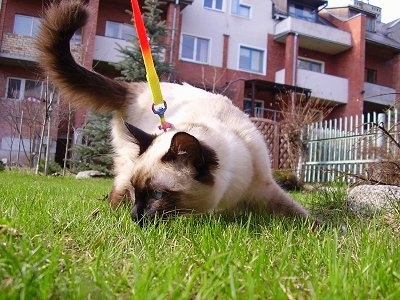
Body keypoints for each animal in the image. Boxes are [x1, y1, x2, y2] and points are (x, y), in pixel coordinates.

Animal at [35, 0, 310, 224]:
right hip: (125, 162)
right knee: (115, 193)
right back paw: (107, 212)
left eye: (158, 194)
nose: (135, 217)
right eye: (137, 191)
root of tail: (135, 87)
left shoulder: (265, 189)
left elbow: (303, 217)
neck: (229, 191)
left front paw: (318, 235)